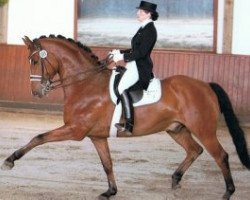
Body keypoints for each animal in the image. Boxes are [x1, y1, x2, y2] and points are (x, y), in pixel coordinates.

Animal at [1, 35, 248, 199]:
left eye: (35, 61)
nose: (36, 92)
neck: (85, 83)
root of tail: (206, 86)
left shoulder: (75, 129)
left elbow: (39, 137)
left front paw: (10, 160)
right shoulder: (97, 137)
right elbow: (107, 164)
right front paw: (110, 191)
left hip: (203, 129)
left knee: (221, 156)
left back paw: (228, 192)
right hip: (176, 129)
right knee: (195, 150)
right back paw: (176, 180)